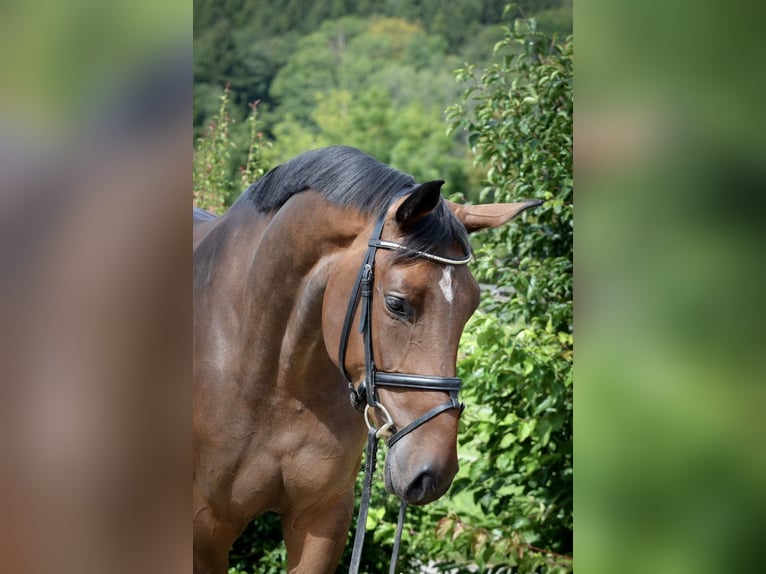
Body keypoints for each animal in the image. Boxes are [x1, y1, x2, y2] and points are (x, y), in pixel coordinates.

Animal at [193, 146, 540, 573]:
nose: (433, 472)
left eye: (472, 306)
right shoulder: (205, 529)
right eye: (396, 303)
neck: (274, 383)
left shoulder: (322, 517)